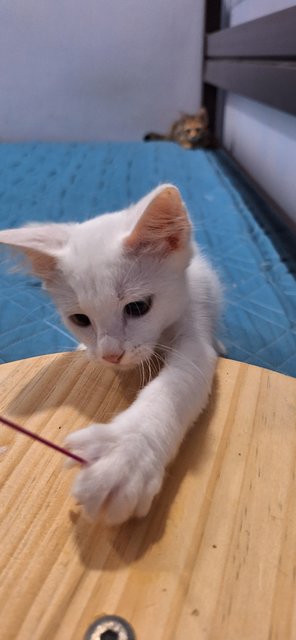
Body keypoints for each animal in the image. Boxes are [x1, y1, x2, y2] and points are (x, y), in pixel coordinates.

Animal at [0, 185, 221, 524]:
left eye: (138, 307)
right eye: (80, 319)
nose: (110, 355)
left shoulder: (195, 323)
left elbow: (177, 384)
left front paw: (128, 453)